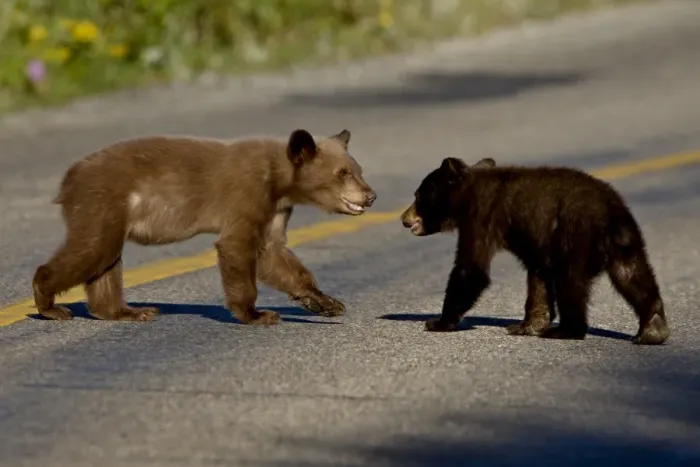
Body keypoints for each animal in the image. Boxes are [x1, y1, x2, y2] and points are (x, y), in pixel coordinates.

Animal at [32, 128, 377, 325]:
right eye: (343, 173)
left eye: (358, 169)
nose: (371, 196)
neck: (278, 178)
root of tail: (69, 177)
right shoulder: (247, 192)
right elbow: (238, 246)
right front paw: (255, 314)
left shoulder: (276, 209)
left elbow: (274, 253)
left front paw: (325, 302)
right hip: (102, 201)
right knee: (92, 250)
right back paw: (50, 305)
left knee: (105, 262)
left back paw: (127, 312)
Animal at [400, 156, 670, 345]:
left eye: (418, 195)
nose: (404, 218)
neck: (466, 194)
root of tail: (611, 212)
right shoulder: (537, 240)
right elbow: (538, 277)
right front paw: (527, 325)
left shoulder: (482, 218)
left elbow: (471, 269)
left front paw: (439, 322)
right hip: (625, 242)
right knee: (632, 275)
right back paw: (653, 329)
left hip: (575, 234)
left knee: (570, 281)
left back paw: (565, 330)